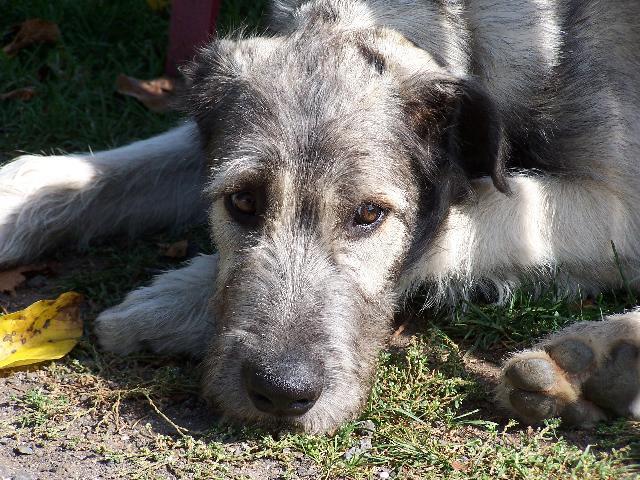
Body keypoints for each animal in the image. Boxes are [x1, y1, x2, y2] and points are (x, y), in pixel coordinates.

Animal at [1, 0, 640, 434]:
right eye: (241, 202)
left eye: (368, 214)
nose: (281, 395)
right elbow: (117, 172)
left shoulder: (611, 205)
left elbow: (457, 217)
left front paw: (174, 302)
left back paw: (595, 360)